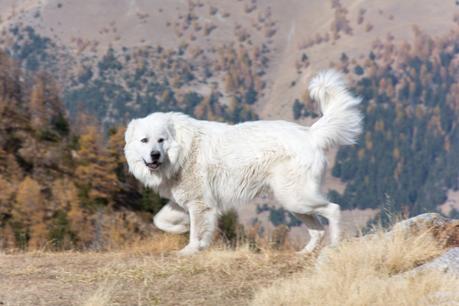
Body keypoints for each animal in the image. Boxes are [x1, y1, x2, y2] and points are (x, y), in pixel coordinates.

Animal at [125, 70, 362, 255]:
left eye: (160, 140)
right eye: (144, 140)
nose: (155, 155)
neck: (181, 150)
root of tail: (310, 134)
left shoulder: (199, 204)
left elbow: (196, 232)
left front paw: (190, 250)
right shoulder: (183, 202)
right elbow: (160, 220)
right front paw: (181, 230)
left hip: (296, 198)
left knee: (333, 209)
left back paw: (334, 246)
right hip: (293, 202)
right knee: (317, 229)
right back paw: (304, 253)